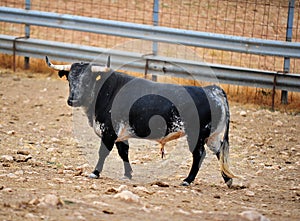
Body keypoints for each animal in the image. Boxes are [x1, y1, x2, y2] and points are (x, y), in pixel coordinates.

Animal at [45, 55, 237, 186]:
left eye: (87, 80)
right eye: (70, 79)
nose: (72, 100)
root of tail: (212, 89)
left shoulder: (108, 132)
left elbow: (103, 153)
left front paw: (95, 173)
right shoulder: (120, 135)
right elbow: (124, 152)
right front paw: (128, 174)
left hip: (197, 136)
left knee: (199, 155)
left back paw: (187, 180)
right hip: (212, 136)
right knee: (219, 152)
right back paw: (227, 179)